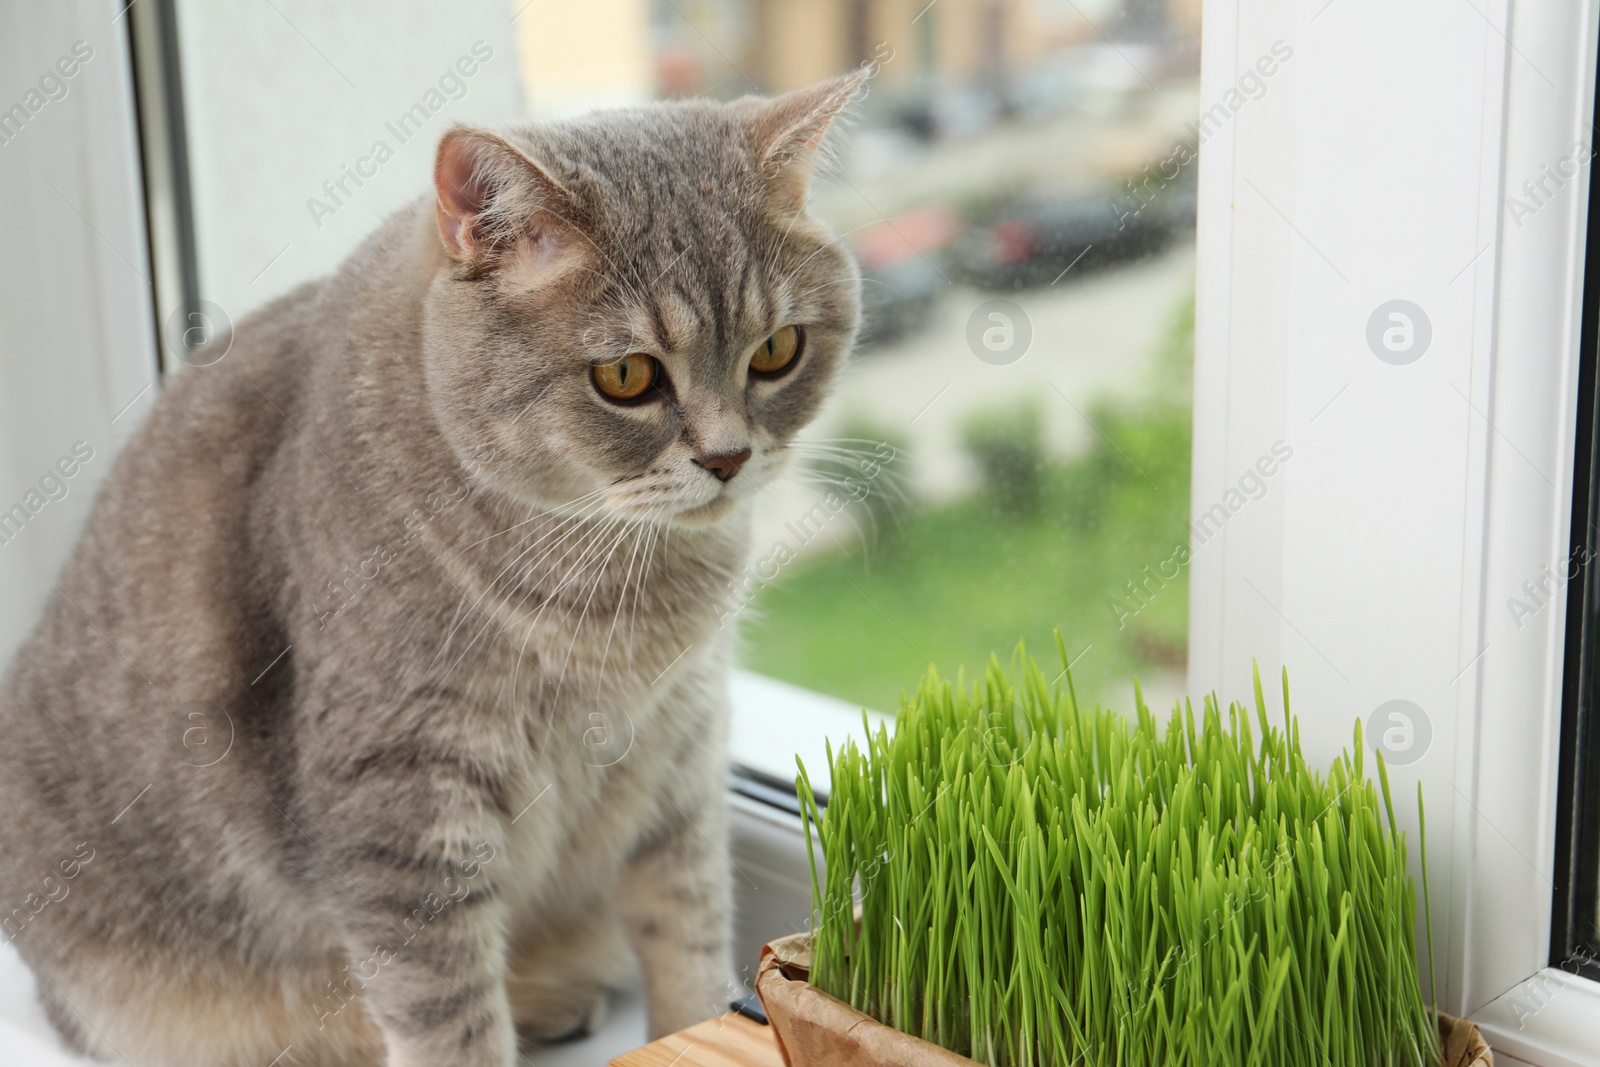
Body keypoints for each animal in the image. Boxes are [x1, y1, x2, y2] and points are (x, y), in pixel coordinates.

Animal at [0, 70, 864, 1062]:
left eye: (777, 351)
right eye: (627, 376)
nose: (727, 458)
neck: (620, 588)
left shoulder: (678, 755)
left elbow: (687, 938)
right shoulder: (401, 805)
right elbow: (448, 1013)